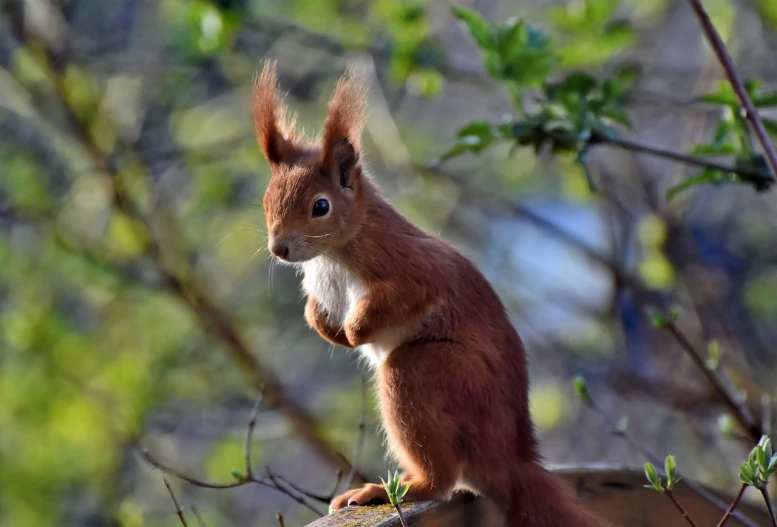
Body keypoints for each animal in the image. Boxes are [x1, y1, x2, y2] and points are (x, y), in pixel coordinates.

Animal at [252, 63, 604, 527]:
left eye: (320, 207)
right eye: (266, 200)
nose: (279, 249)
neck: (332, 253)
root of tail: (508, 460)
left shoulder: (410, 266)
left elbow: (411, 293)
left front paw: (355, 330)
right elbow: (316, 310)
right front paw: (327, 326)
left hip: (428, 374)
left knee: (441, 474)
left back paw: (390, 489)